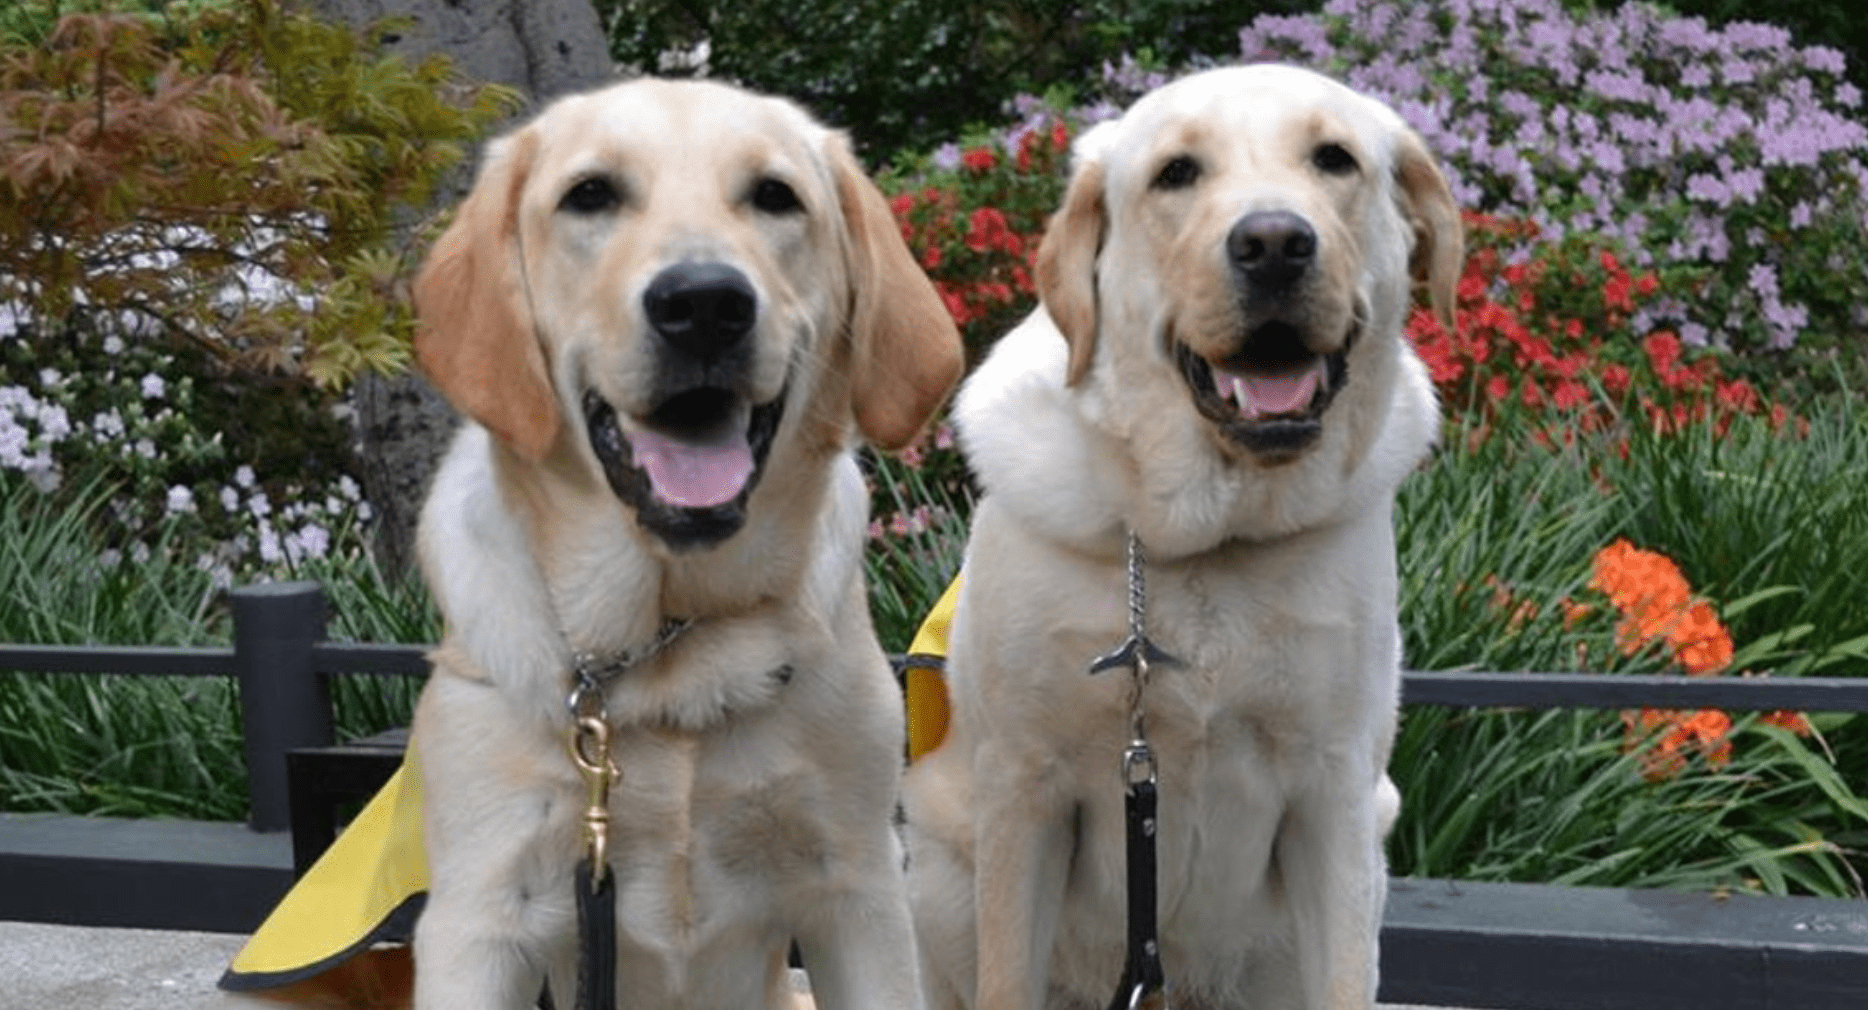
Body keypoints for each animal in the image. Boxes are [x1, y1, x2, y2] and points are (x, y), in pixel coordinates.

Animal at [409, 78, 963, 1008]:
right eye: (590, 194)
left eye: (775, 196)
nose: (703, 304)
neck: (664, 649)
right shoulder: (480, 914)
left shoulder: (860, 888)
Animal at [900, 64, 1457, 1008]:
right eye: (1175, 174)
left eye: (1334, 159)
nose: (1274, 243)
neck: (1208, 539)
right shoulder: (1023, 791)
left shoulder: (1337, 796)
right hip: (940, 868)